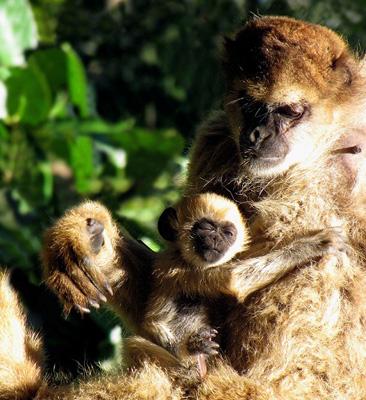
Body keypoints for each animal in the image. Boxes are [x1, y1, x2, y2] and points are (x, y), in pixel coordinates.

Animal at [2, 15, 366, 400]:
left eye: (289, 112)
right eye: (250, 106)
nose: (257, 134)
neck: (321, 149)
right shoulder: (217, 135)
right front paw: (81, 238)